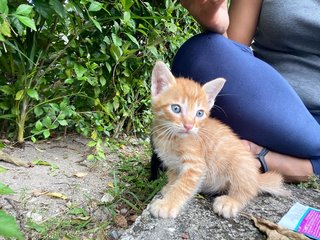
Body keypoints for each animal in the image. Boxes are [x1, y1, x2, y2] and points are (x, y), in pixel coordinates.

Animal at [150, 61, 288, 218]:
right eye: (176, 109)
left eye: (199, 113)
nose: (189, 126)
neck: (169, 136)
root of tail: (256, 177)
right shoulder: (173, 164)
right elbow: (174, 178)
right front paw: (169, 187)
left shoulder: (196, 166)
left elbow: (183, 186)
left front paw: (167, 204)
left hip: (240, 166)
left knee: (248, 190)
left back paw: (231, 201)